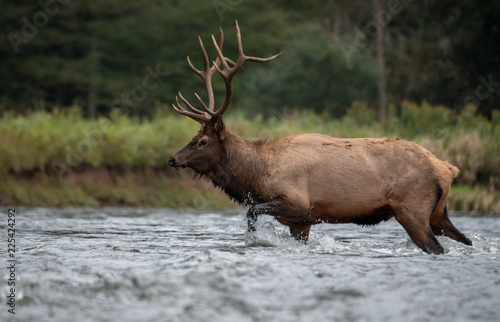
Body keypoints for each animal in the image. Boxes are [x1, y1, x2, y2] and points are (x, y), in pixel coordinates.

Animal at [168, 21, 472, 255]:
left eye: (203, 141)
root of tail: (448, 168)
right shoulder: (302, 222)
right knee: (465, 240)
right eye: (194, 136)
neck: (256, 173)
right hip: (438, 213)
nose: (172, 159)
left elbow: (251, 211)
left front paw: (255, 241)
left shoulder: (298, 203)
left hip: (412, 209)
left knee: (436, 247)